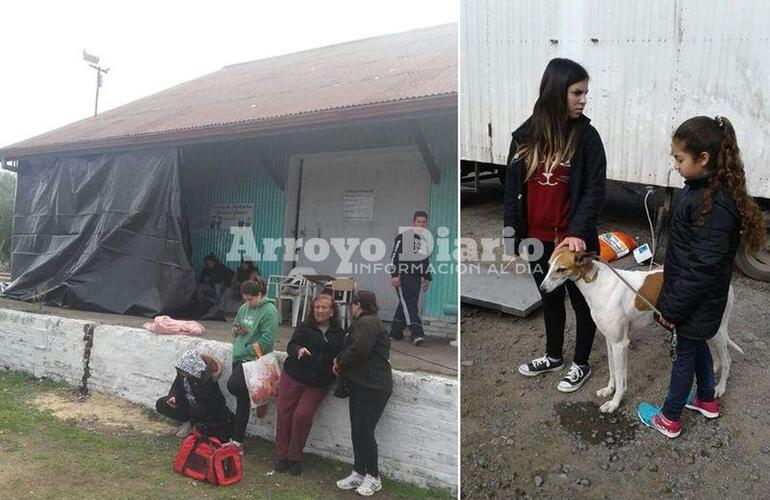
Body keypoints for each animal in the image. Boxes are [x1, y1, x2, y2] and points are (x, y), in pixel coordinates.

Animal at [536, 247, 740, 414]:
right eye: (549, 265)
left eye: (561, 269)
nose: (542, 289)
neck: (597, 284)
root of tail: (727, 284)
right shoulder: (611, 341)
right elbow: (613, 372)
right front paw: (609, 390)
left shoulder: (620, 344)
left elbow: (620, 378)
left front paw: (614, 403)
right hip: (704, 332)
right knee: (717, 355)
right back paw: (714, 369)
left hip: (715, 332)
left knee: (728, 359)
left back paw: (719, 388)